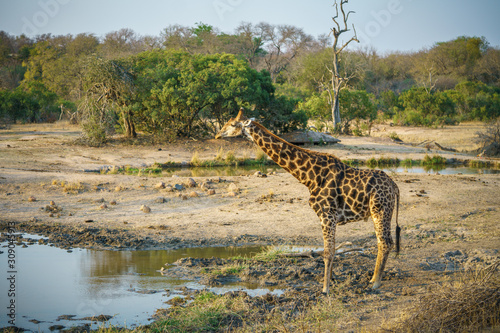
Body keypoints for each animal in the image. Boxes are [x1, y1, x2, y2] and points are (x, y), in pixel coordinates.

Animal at [217, 107, 400, 292]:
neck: (310, 177)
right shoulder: (329, 217)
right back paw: (372, 279)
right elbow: (332, 249)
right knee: (381, 242)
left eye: (232, 124)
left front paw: (325, 289)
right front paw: (331, 281)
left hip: (380, 210)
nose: (218, 135)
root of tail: (394, 186)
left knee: (385, 242)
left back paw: (375, 284)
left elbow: (328, 252)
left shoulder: (327, 215)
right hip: (379, 212)